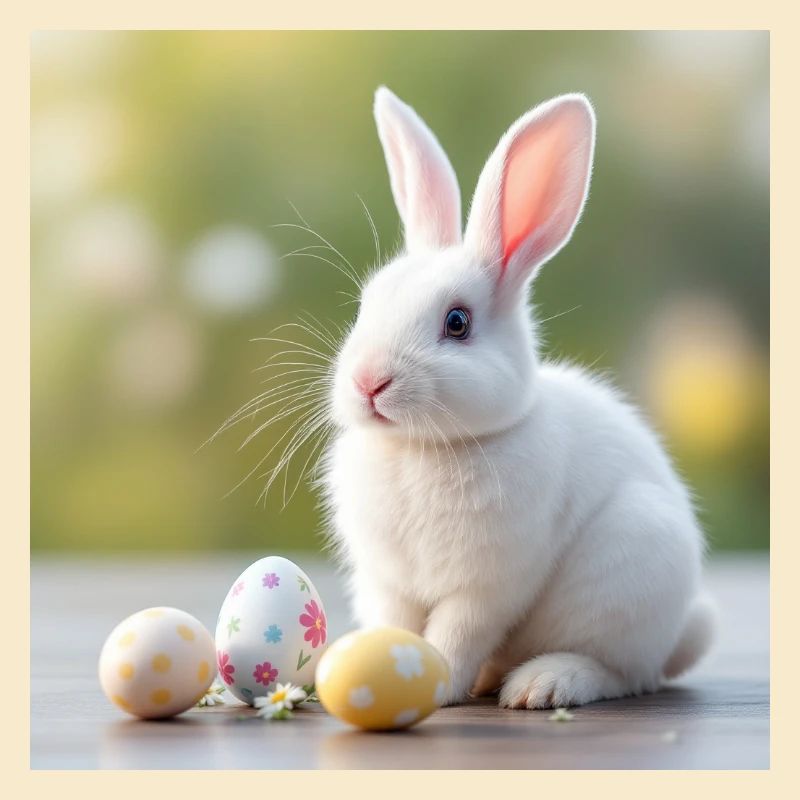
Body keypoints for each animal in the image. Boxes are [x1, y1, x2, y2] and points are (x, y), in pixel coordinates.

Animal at [321, 86, 715, 708]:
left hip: (629, 571)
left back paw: (543, 685)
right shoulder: (387, 583)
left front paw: (438, 683)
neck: (421, 449)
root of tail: (680, 631)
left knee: (625, 673)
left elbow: (455, 635)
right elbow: (396, 624)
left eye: (457, 323)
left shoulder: (486, 588)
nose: (368, 382)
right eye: (366, 305)